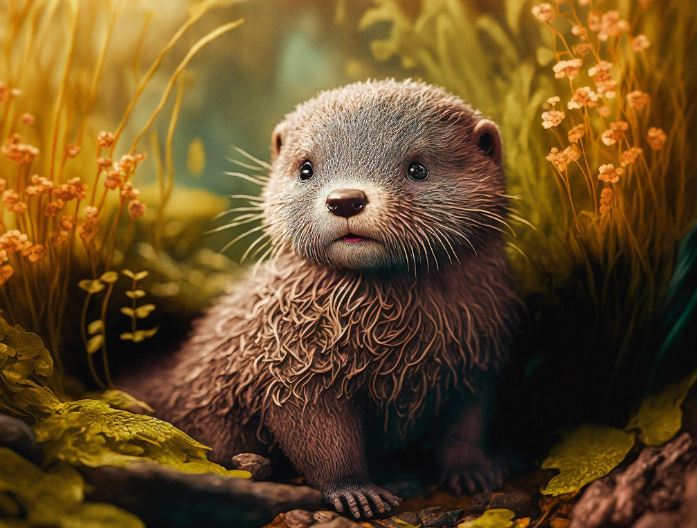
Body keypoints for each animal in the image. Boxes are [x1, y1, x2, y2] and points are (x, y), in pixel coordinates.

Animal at [126, 79, 518, 519]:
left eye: (418, 168)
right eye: (306, 168)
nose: (345, 199)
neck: (400, 342)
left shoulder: (475, 361)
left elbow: (465, 428)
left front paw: (475, 472)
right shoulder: (292, 367)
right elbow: (323, 442)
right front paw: (356, 491)